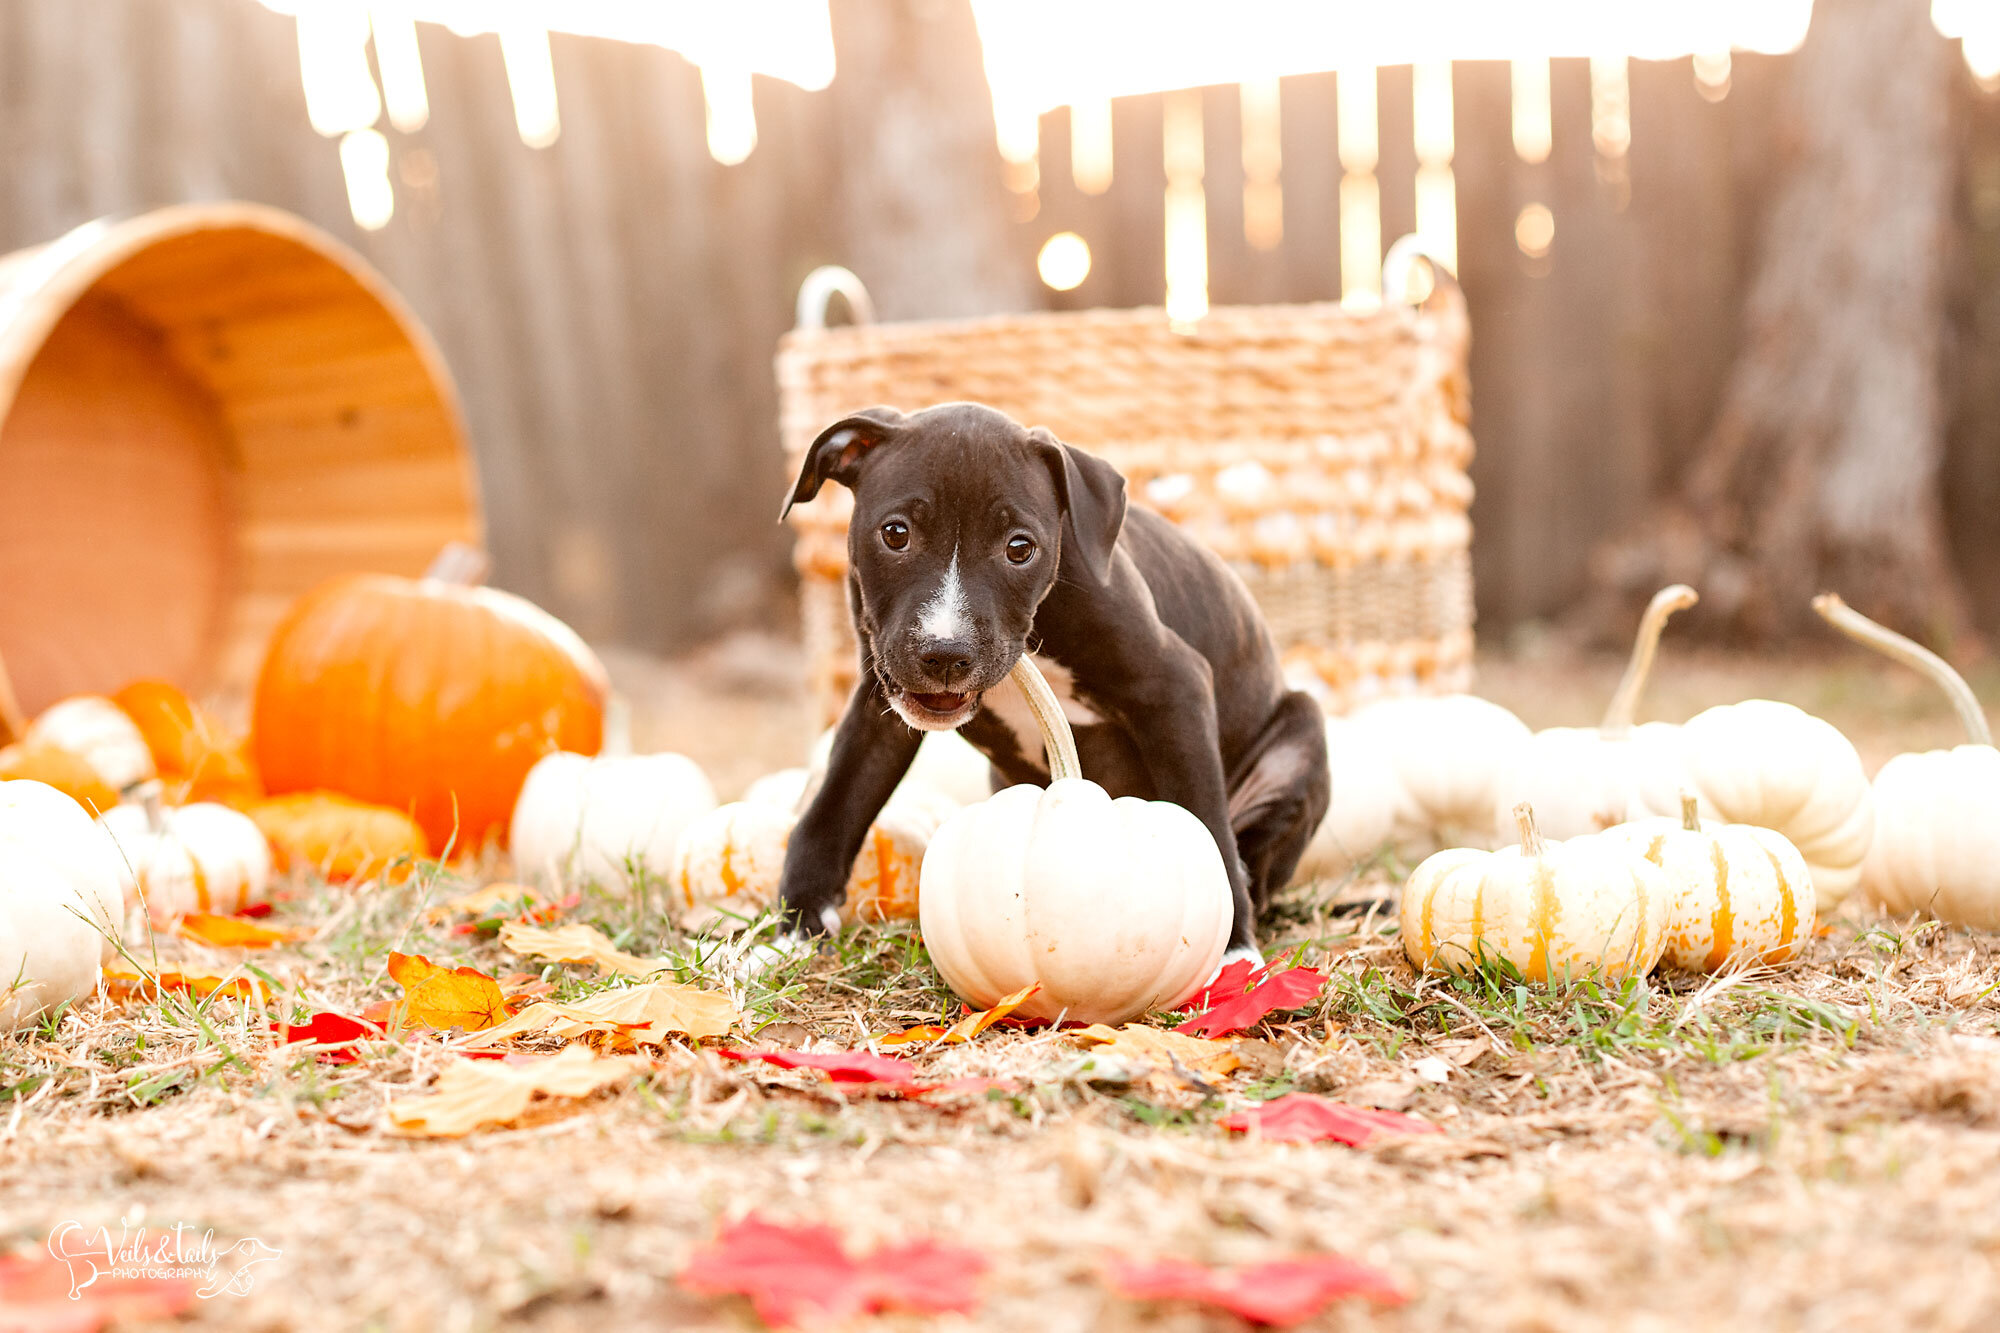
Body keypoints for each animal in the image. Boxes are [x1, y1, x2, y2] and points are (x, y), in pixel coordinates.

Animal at [776, 400, 1328, 960]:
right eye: (895, 533)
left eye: (1020, 548)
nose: (946, 654)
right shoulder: (880, 704)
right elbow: (834, 806)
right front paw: (795, 931)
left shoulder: (1174, 688)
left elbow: (1207, 821)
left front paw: (1233, 951)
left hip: (1299, 739)